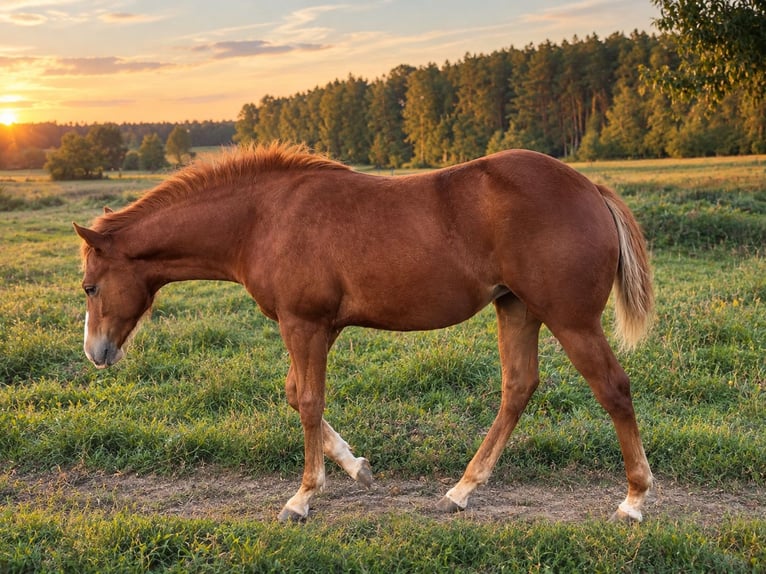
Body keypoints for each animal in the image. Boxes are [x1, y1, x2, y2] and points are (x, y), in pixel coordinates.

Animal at [74, 142, 655, 523]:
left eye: (90, 287)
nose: (95, 353)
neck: (262, 218)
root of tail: (590, 187)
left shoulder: (304, 324)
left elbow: (308, 401)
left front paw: (303, 497)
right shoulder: (319, 328)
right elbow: (296, 395)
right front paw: (356, 467)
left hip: (571, 320)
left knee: (613, 388)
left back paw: (633, 501)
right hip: (516, 308)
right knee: (518, 388)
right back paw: (461, 490)